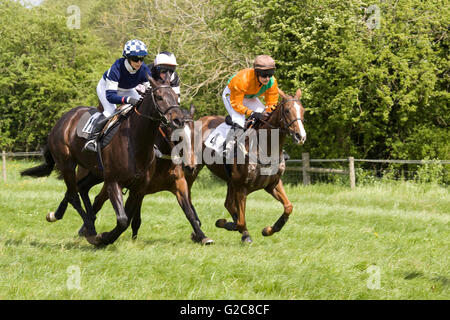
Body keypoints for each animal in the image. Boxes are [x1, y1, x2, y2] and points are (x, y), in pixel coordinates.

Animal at [20, 76, 186, 246]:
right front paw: (103, 238)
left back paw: (74, 217)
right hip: (68, 165)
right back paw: (90, 228)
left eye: (176, 96)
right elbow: (122, 220)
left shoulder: (138, 188)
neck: (135, 142)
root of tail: (63, 120)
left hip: (95, 172)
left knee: (81, 188)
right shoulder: (113, 182)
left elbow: (126, 219)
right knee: (73, 195)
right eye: (159, 97)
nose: (178, 120)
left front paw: (106, 237)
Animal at [76, 104, 214, 244]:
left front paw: (202, 236)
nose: (190, 166)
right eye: (177, 136)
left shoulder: (179, 184)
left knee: (88, 190)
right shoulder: (139, 189)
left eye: (195, 135)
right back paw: (87, 229)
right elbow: (134, 217)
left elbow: (189, 211)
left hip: (97, 176)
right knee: (97, 199)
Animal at [185, 87, 306, 242]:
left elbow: (289, 207)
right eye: (287, 111)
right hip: (194, 169)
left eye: (303, 110)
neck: (265, 148)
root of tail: (200, 120)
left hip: (230, 181)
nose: (300, 136)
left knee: (228, 204)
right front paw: (233, 227)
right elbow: (241, 221)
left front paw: (268, 230)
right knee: (189, 195)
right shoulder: (241, 186)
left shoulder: (272, 184)